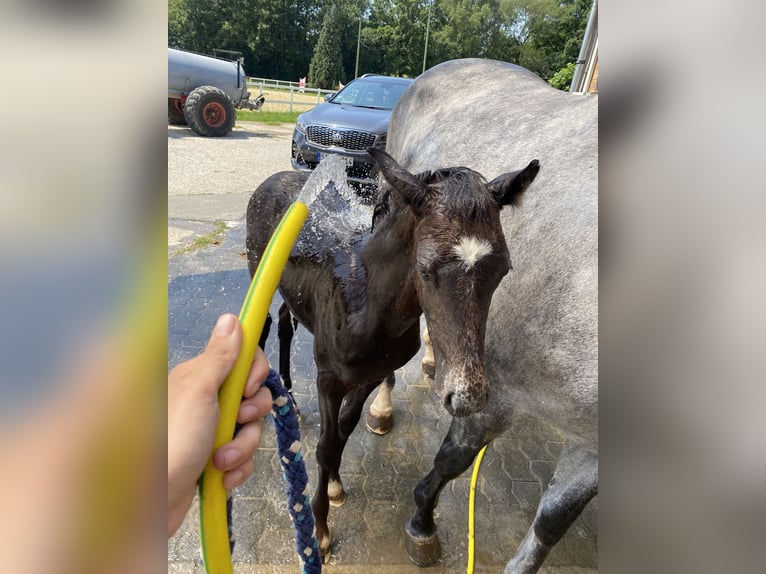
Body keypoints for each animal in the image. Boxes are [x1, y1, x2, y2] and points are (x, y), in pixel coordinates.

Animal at [245, 150, 540, 560]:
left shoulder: (370, 376)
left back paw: (288, 390)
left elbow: (345, 431)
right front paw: (320, 532)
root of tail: (274, 179)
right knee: (263, 326)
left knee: (287, 323)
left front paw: (335, 487)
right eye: (426, 269)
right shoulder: (328, 379)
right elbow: (325, 445)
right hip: (258, 273)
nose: (468, 396)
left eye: (503, 269)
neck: (365, 299)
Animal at [385, 59, 598, 573]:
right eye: (426, 267)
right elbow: (452, 460)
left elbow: (554, 519)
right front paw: (422, 524)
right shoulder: (496, 393)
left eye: (505, 271)